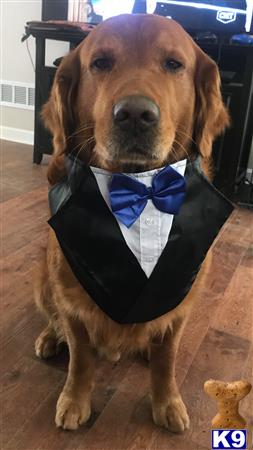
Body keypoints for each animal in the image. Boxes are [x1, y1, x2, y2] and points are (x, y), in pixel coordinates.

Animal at [34, 14, 230, 432]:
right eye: (101, 63)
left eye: (173, 64)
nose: (135, 114)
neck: (141, 188)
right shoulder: (72, 302)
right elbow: (80, 358)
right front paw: (74, 400)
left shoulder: (180, 304)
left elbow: (167, 359)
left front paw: (167, 402)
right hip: (43, 277)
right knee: (53, 320)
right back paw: (49, 338)